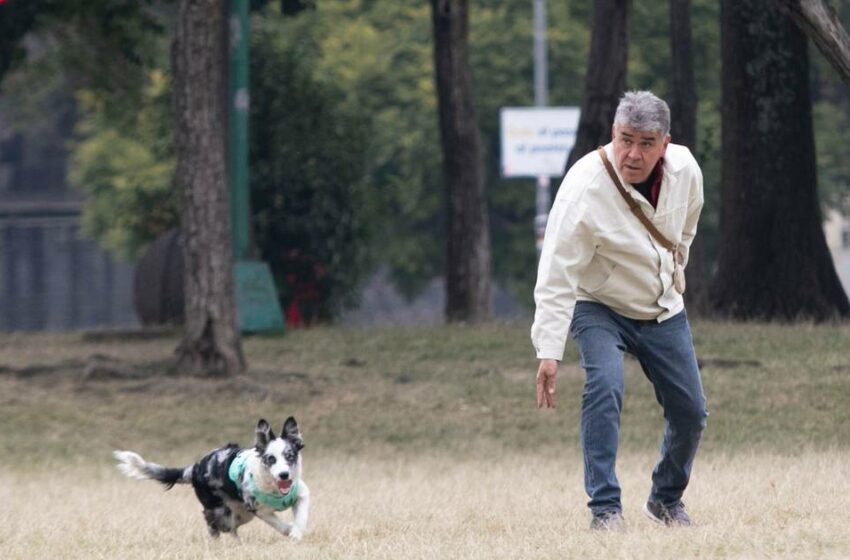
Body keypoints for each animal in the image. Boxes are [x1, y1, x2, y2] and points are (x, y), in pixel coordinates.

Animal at [114, 418, 308, 540]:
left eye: (290, 456)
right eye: (271, 459)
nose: (284, 475)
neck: (275, 489)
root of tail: (195, 467)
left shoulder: (301, 495)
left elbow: (301, 517)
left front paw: (296, 532)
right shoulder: (259, 509)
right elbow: (278, 523)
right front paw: (289, 530)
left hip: (240, 513)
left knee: (231, 529)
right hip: (222, 511)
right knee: (213, 524)